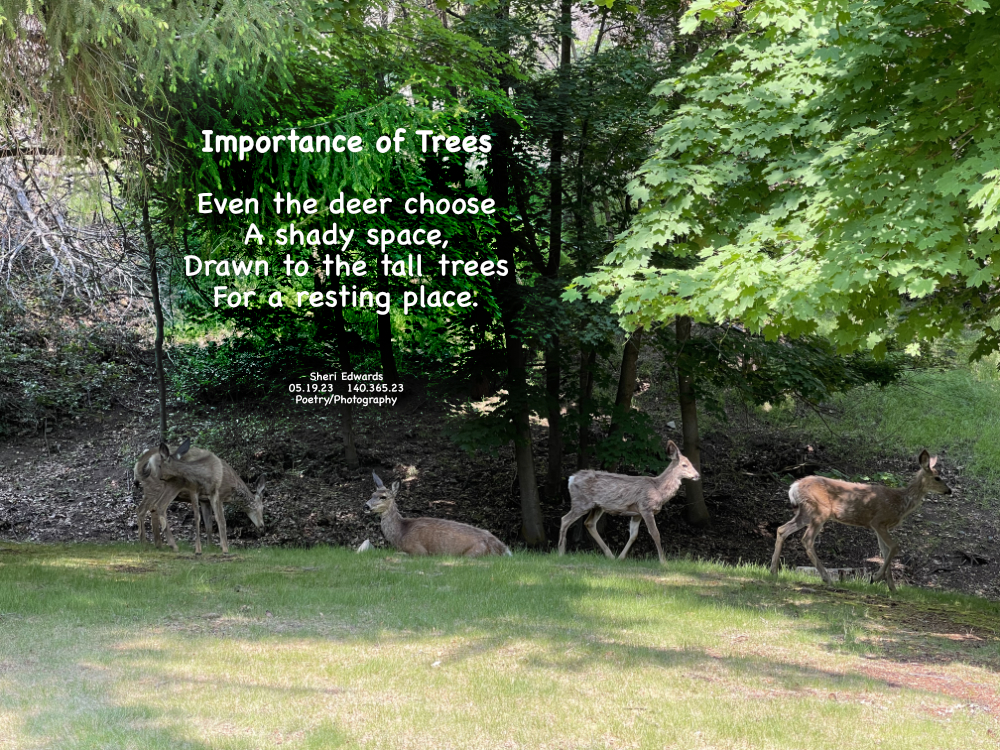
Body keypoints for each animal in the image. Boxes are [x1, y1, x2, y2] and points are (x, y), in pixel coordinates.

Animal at [365, 472, 511, 557]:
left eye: (383, 497)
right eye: (372, 494)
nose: (366, 506)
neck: (400, 533)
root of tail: (504, 549)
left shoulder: (418, 550)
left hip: (473, 553)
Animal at [558, 440, 701, 564]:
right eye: (684, 464)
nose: (697, 475)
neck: (658, 489)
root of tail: (571, 478)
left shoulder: (637, 514)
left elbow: (633, 535)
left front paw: (621, 558)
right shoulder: (646, 507)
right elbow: (655, 533)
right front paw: (664, 562)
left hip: (597, 506)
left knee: (589, 523)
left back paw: (610, 555)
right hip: (581, 502)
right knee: (565, 519)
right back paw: (561, 552)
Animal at [769, 449, 951, 591]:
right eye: (937, 478)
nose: (949, 491)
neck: (901, 501)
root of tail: (794, 487)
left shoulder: (880, 526)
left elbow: (886, 552)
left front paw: (892, 588)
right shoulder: (878, 521)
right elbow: (894, 547)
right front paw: (875, 579)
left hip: (806, 512)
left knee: (782, 529)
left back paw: (773, 571)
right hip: (820, 511)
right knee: (806, 539)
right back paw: (827, 578)